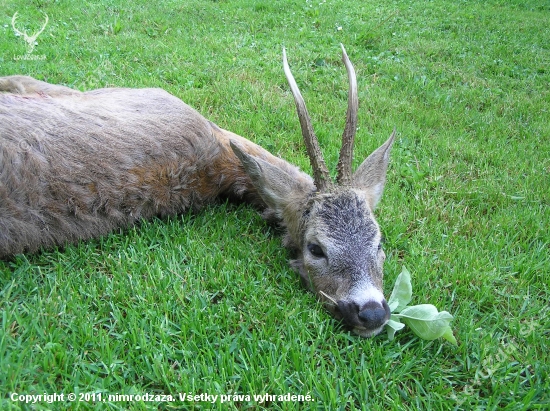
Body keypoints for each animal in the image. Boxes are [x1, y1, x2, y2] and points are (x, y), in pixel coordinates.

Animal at [0, 46, 396, 340]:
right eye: (316, 248)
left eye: (379, 243)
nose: (371, 312)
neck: (217, 157)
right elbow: (22, 79)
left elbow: (22, 79)